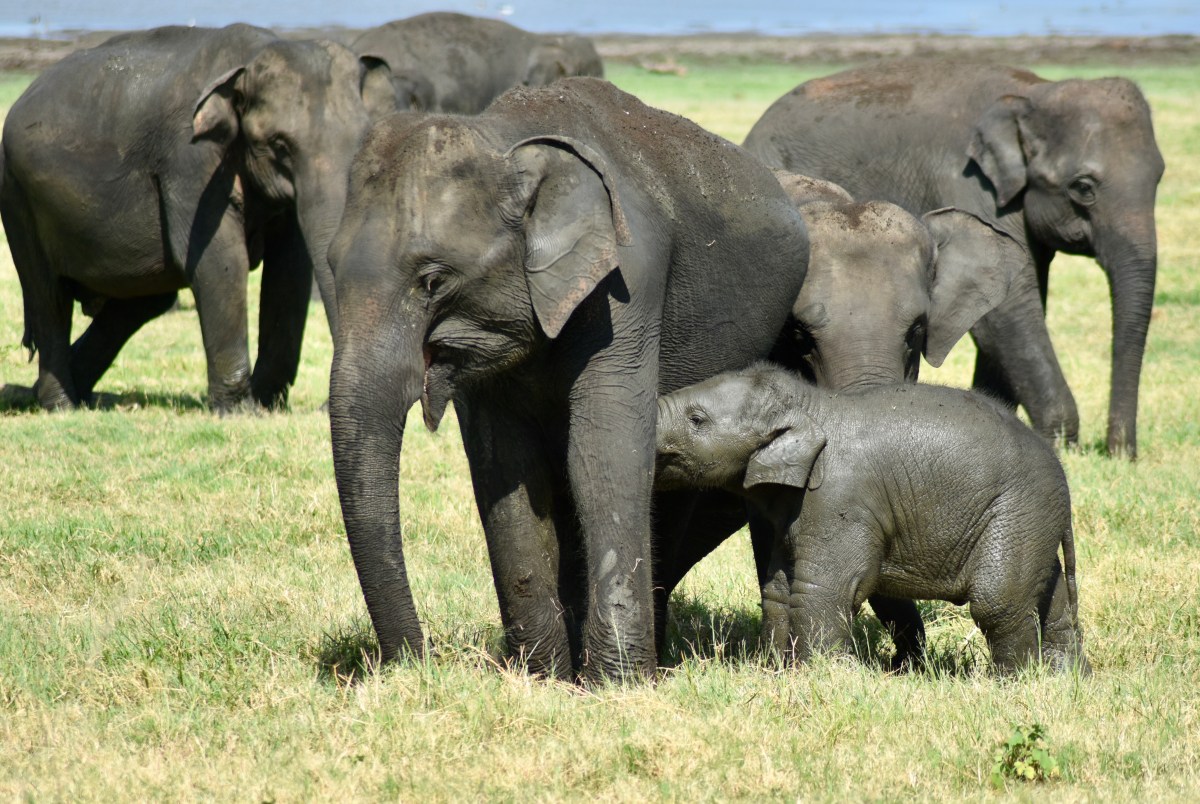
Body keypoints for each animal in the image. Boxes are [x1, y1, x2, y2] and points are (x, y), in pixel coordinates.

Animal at [0, 24, 399, 411]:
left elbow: (289, 270)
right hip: (18, 198)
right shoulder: (189, 160)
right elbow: (220, 259)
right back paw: (61, 405)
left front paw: (267, 402)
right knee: (49, 298)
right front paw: (241, 411)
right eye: (279, 146)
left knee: (144, 298)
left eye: (362, 139)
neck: (248, 59)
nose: (322, 407)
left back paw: (63, 396)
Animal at [327, 77, 810, 683]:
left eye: (432, 280)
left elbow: (602, 450)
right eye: (328, 266)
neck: (504, 139)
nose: (418, 664)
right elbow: (506, 464)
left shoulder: (625, 283)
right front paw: (541, 679)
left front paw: (617, 685)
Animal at [655, 363, 1090, 675]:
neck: (813, 404)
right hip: (1031, 520)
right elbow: (778, 589)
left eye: (696, 419)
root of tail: (1063, 477)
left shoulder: (839, 499)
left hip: (1017, 509)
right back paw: (1063, 678)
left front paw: (829, 678)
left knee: (997, 601)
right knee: (1049, 594)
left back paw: (1015, 683)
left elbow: (822, 588)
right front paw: (777, 673)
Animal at [743, 59, 1165, 457]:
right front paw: (1062, 446)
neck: (1036, 91)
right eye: (1083, 187)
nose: (1120, 454)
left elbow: (1019, 299)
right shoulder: (966, 182)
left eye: (1161, 177)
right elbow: (1009, 313)